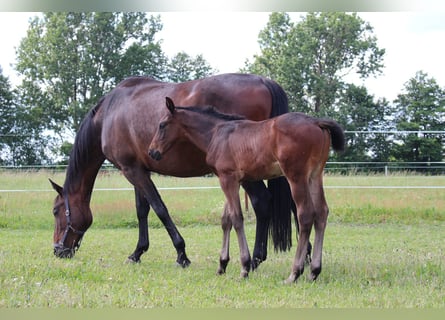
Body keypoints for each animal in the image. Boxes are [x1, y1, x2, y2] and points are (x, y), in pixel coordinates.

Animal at [49, 72, 294, 268]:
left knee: (262, 201)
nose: (57, 250)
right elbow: (142, 211)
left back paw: (256, 259)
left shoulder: (132, 171)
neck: (109, 114)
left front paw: (181, 254)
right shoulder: (138, 169)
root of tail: (264, 81)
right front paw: (138, 252)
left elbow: (159, 208)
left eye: (55, 211)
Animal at [148, 98, 344, 282]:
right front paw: (222, 265)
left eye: (162, 125)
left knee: (306, 215)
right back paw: (314, 271)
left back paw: (294, 274)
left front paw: (244, 267)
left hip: (296, 176)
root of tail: (316, 122)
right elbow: (225, 219)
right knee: (321, 213)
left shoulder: (227, 178)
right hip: (315, 175)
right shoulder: (231, 180)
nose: (152, 152)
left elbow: (237, 218)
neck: (216, 133)